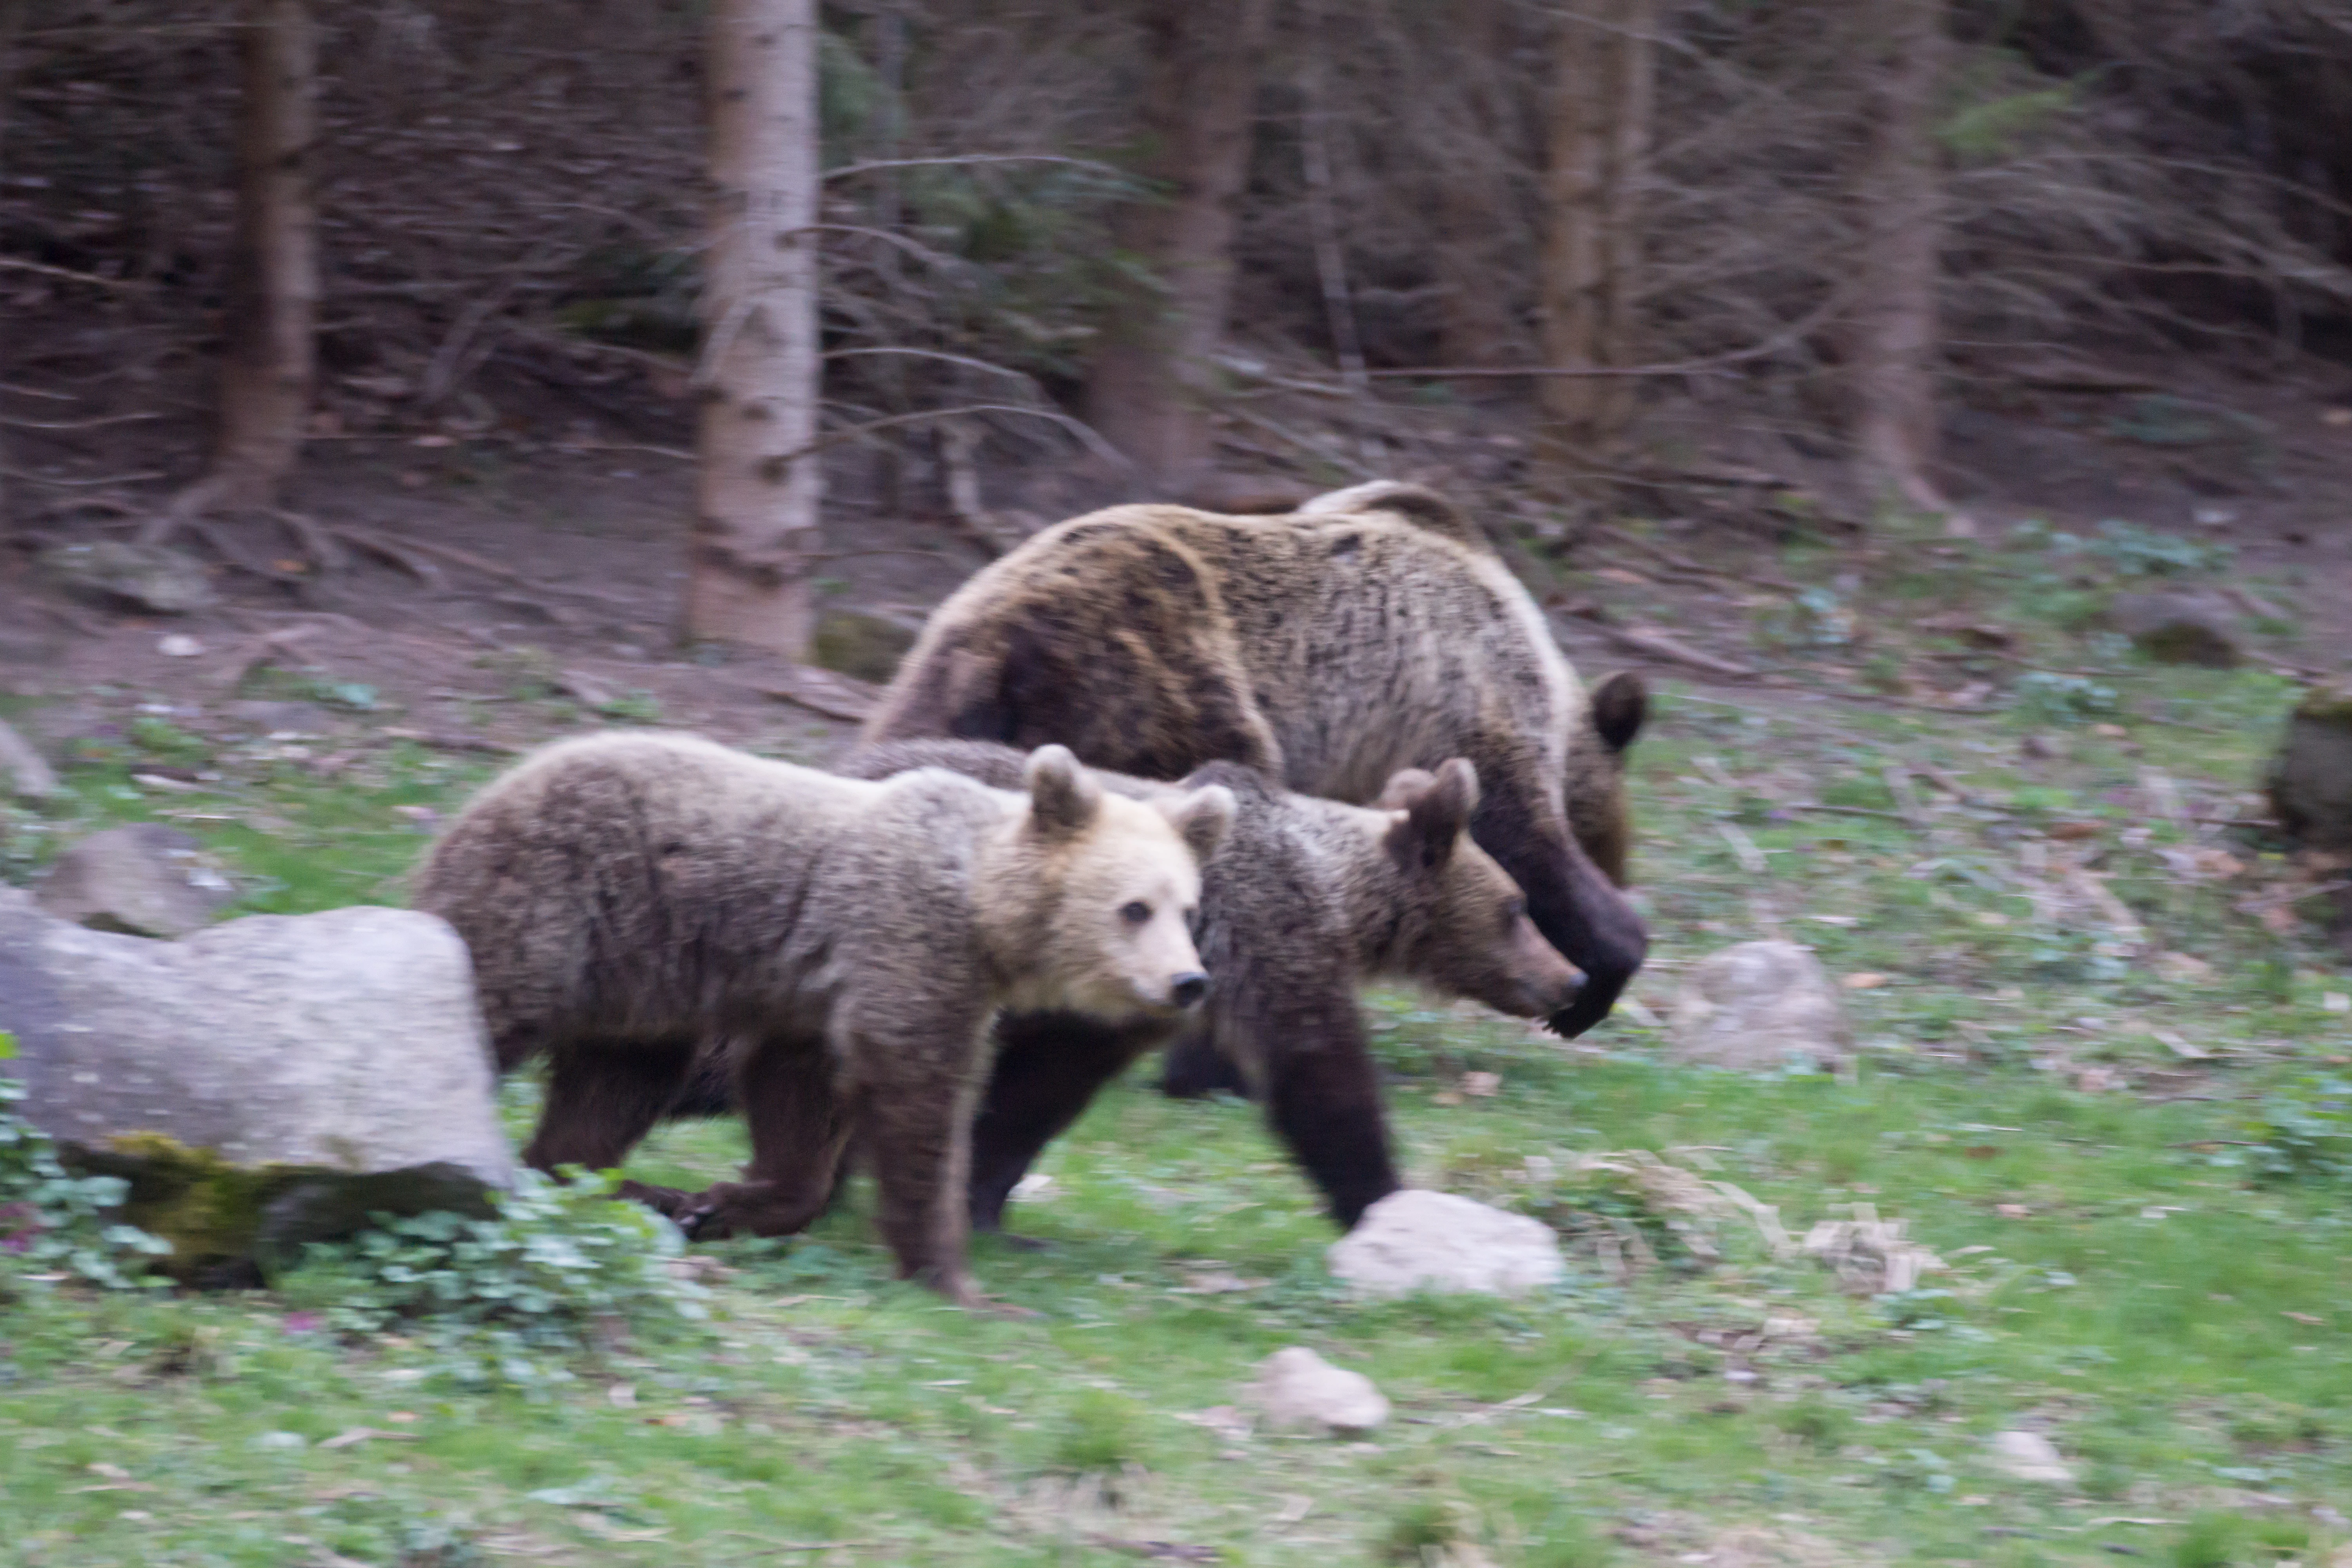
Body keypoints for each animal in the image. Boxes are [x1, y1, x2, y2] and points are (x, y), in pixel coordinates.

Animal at [410, 730, 1235, 1305]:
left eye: (1190, 908)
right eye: (1134, 907)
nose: (1188, 981)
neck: (983, 911)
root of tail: (487, 791)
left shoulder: (817, 999)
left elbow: (800, 1101)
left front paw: (721, 1204)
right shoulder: (906, 944)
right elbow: (918, 1103)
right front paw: (957, 1279)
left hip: (636, 990)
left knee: (610, 1088)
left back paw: (606, 1185)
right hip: (555, 907)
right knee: (487, 1010)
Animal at [825, 738, 1583, 1237]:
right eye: (1517, 907)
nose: (1570, 978)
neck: (1335, 892)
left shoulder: (1153, 993)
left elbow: (1045, 1085)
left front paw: (984, 1196)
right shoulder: (1265, 937)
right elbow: (1320, 1075)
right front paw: (1383, 1200)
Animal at [861, 479, 1650, 1051]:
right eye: (1615, 843)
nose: (1619, 870)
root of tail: (1005, 643)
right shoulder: (1457, 695)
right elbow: (1521, 835)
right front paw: (1599, 972)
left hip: (940, 680)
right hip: (1163, 674)